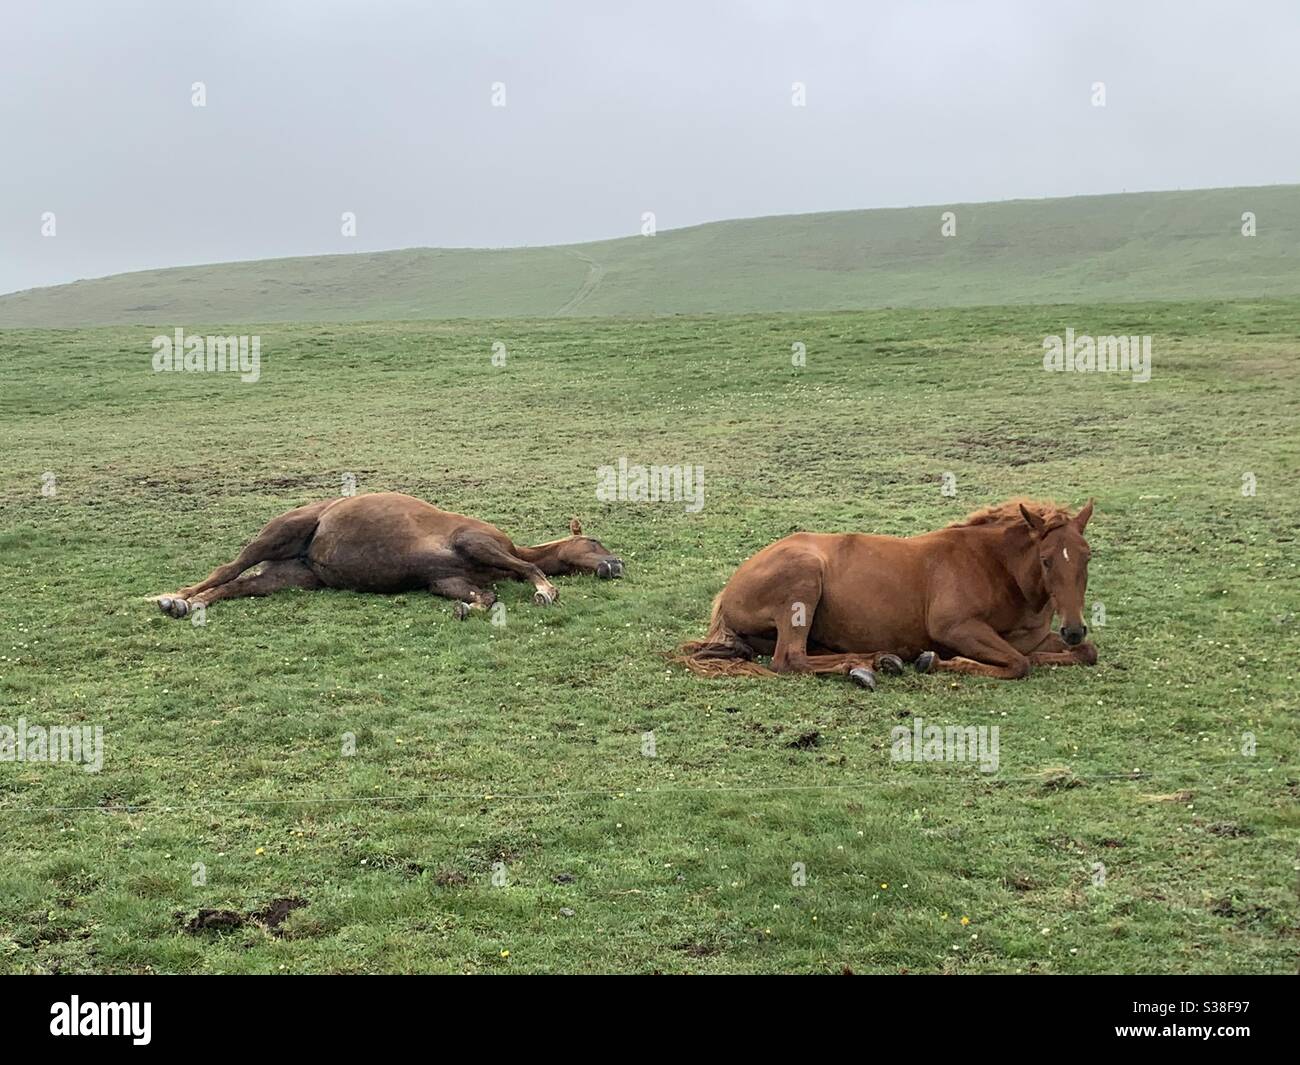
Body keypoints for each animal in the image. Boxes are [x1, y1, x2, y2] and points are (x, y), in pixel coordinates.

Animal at [154, 492, 624, 619]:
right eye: (595, 542)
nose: (617, 565)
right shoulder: (475, 542)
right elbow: (527, 568)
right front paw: (546, 591)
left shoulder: (447, 580)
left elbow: (485, 596)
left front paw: (467, 609)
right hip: (277, 536)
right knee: (227, 569)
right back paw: (175, 598)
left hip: (290, 577)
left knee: (237, 586)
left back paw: (187, 605)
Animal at [675, 498, 1096, 690]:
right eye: (1046, 560)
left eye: (1087, 555)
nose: (1074, 628)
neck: (994, 567)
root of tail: (727, 592)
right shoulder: (955, 628)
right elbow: (1018, 663)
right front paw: (936, 661)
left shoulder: (1035, 637)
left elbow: (1082, 654)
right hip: (803, 583)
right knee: (790, 659)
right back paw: (871, 663)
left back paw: (876, 660)